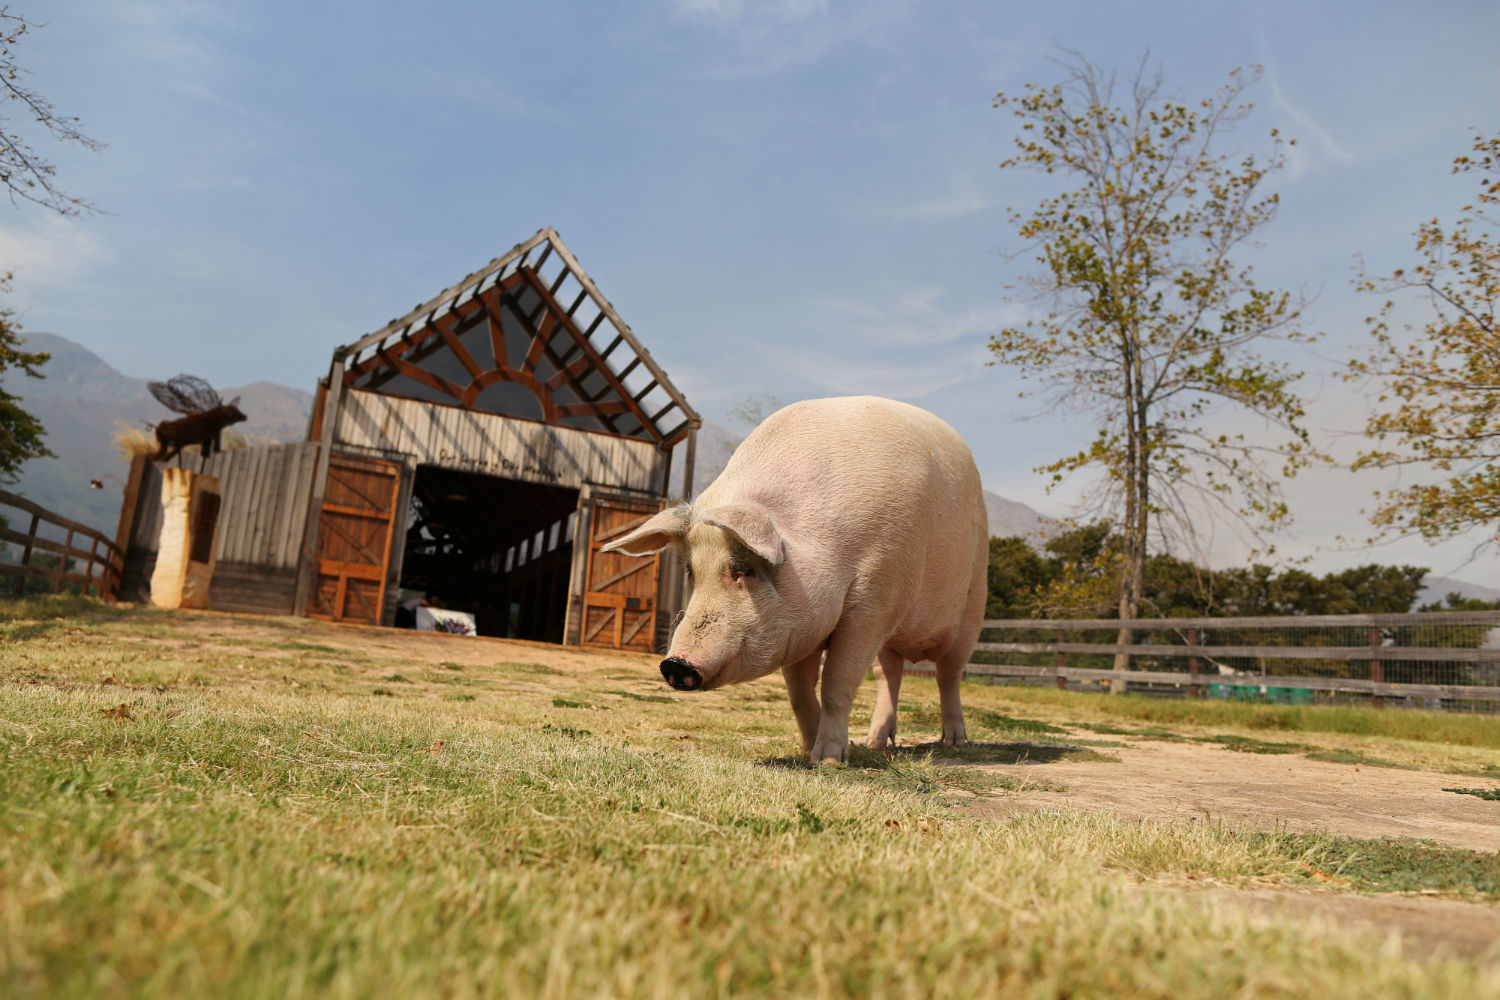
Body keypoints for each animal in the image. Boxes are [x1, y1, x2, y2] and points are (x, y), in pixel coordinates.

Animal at [603, 395, 990, 761]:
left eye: (743, 569)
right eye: (691, 572)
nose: (674, 663)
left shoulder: (877, 599)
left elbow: (836, 682)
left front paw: (828, 760)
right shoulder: (798, 627)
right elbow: (799, 692)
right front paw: (810, 752)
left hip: (975, 596)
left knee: (949, 673)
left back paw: (955, 742)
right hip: (892, 640)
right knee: (890, 674)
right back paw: (876, 743)